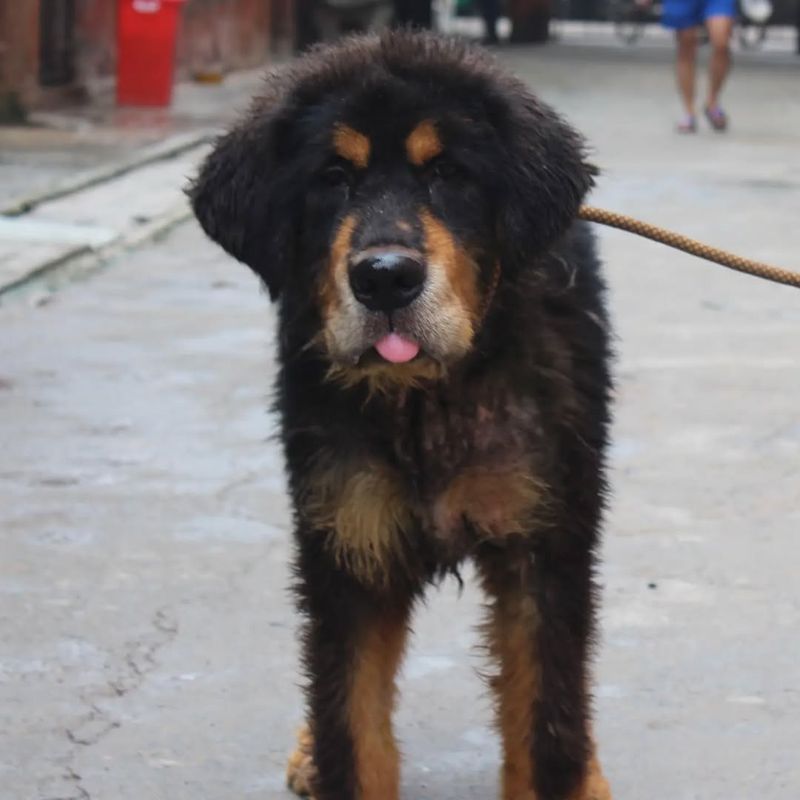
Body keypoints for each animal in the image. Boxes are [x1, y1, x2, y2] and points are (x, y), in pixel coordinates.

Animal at [192, 28, 612, 800]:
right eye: (332, 177)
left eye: (447, 172)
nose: (385, 279)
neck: (426, 402)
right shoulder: (348, 549)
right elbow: (350, 728)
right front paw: (329, 754)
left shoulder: (545, 545)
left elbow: (548, 722)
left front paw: (567, 767)